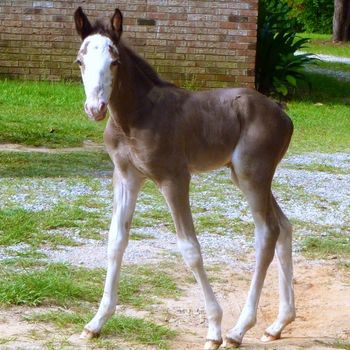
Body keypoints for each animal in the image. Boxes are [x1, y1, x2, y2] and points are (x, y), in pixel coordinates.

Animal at [74, 6, 296, 348]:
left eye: (115, 62)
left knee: (267, 233)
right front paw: (96, 322)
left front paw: (214, 329)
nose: (95, 108)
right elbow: (115, 241)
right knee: (284, 227)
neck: (136, 115)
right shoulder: (126, 177)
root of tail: (284, 115)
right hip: (246, 176)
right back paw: (277, 325)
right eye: (80, 61)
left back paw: (237, 330)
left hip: (252, 175)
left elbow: (190, 250)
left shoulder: (174, 179)